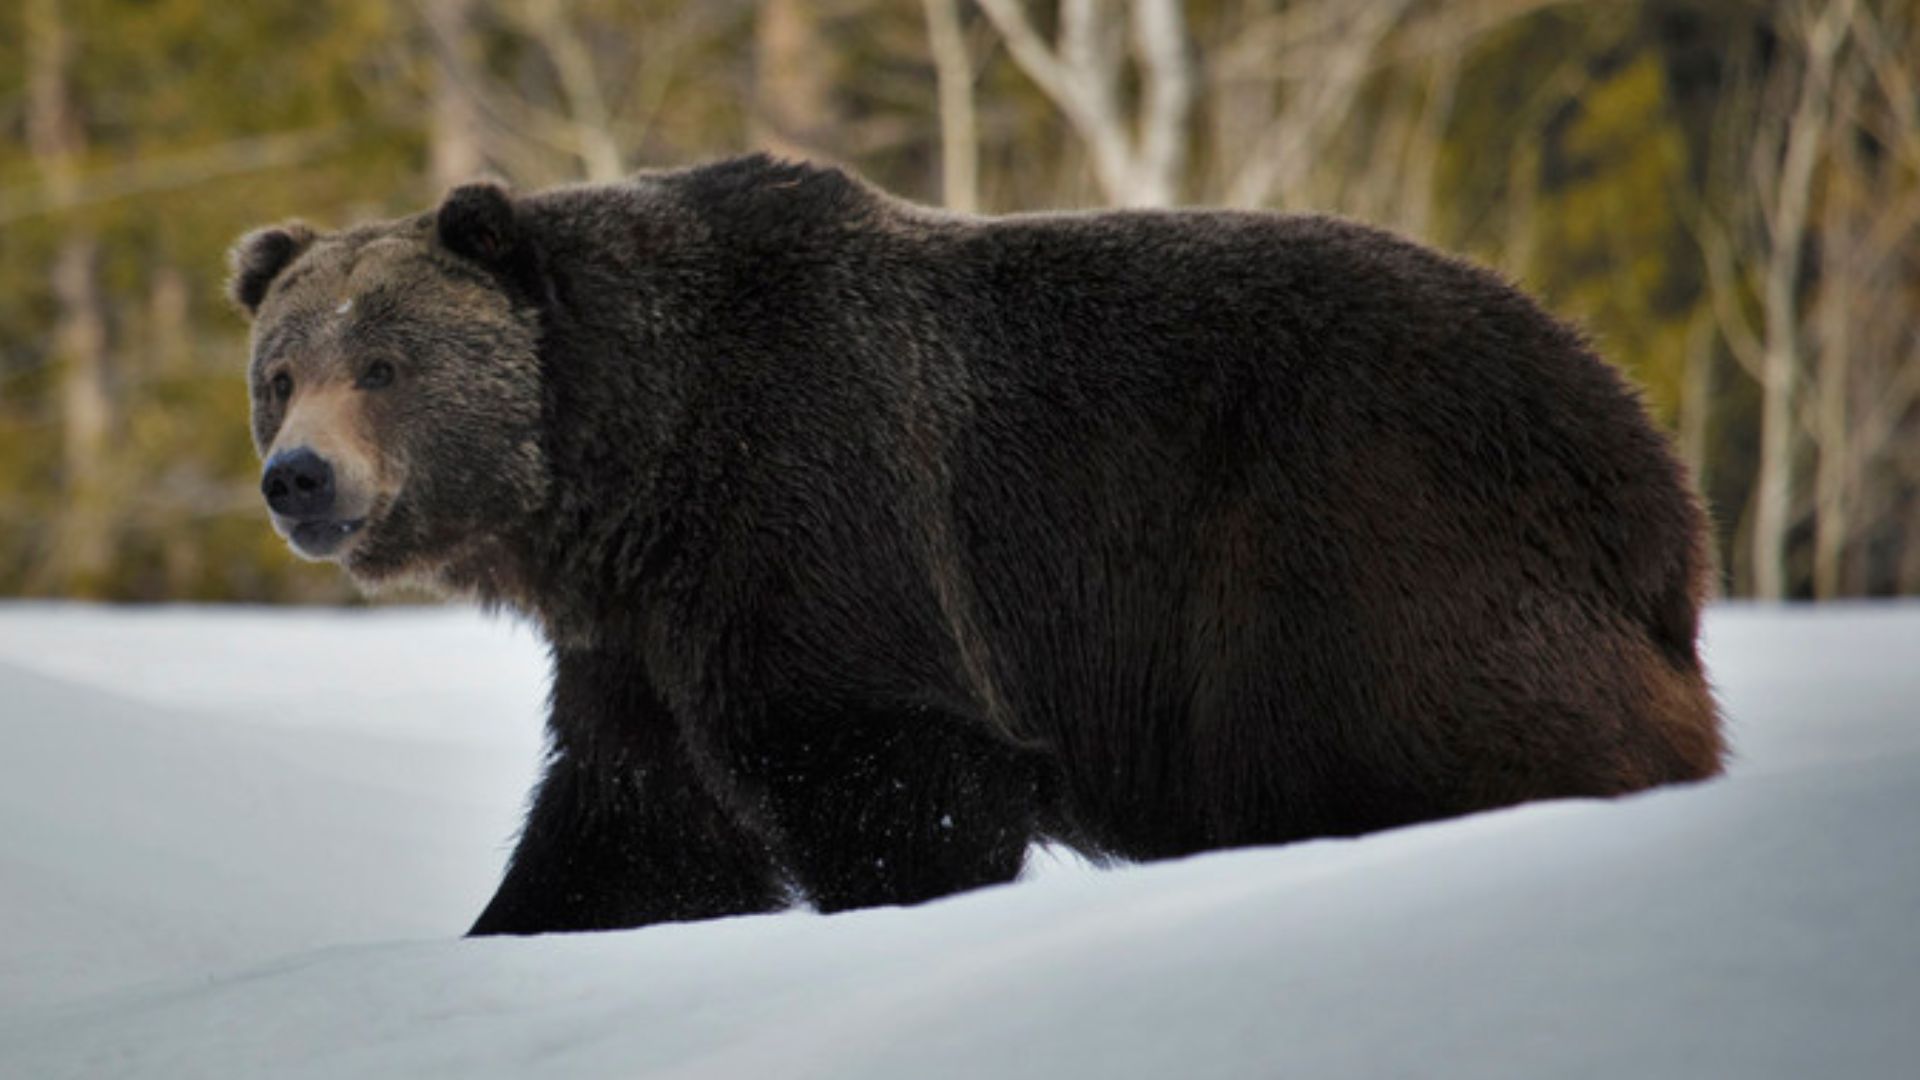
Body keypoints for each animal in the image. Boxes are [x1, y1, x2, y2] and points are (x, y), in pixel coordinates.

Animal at [229, 154, 1724, 936]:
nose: (297, 477)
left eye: (386, 362)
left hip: (1357, 540)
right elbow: (631, 826)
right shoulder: (641, 640)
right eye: (280, 370)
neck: (629, 473)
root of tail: (1654, 478)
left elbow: (897, 776)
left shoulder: (816, 507)